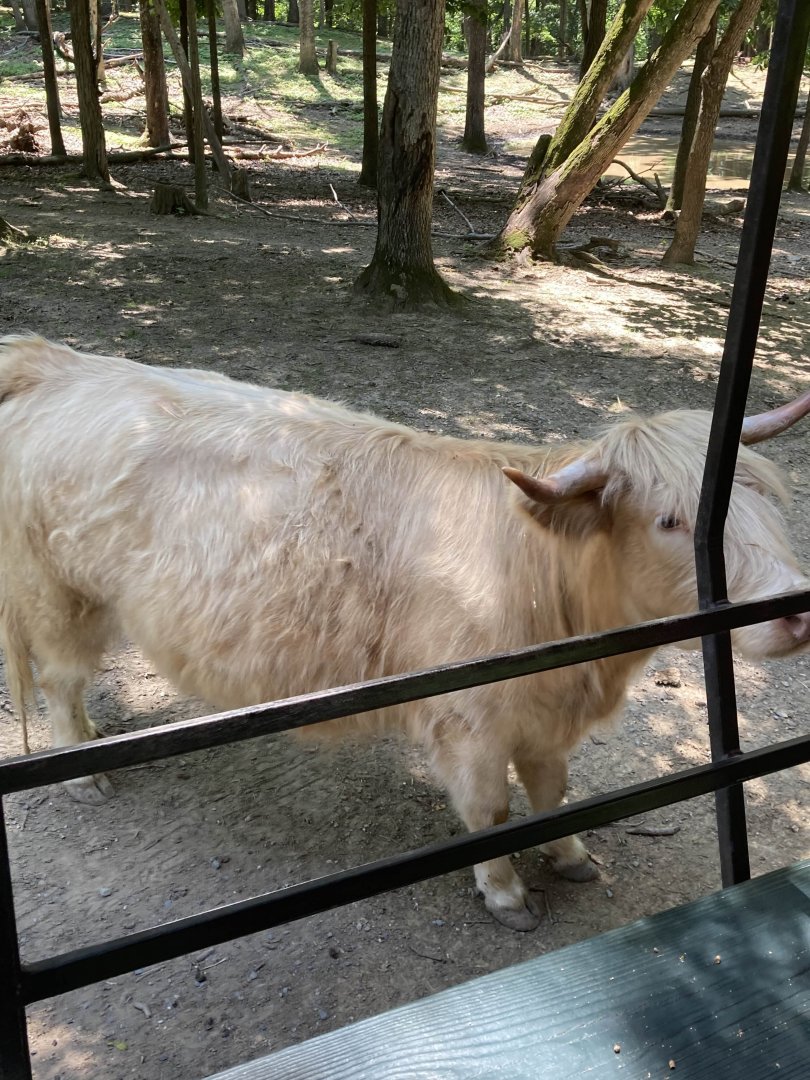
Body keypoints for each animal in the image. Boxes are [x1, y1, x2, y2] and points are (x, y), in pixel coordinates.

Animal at [1, 334, 808, 931]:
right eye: (673, 520)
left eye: (766, 493)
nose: (793, 607)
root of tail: (59, 362)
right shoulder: (470, 724)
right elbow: (491, 811)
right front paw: (506, 892)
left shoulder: (544, 716)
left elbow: (552, 794)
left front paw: (571, 855)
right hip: (59, 594)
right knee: (61, 681)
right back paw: (83, 770)